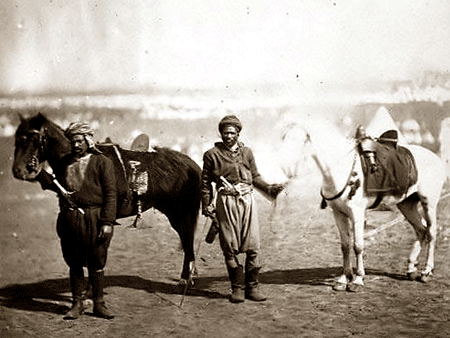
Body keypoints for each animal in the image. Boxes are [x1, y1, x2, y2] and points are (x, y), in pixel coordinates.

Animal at [11, 113, 200, 282]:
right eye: (17, 139)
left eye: (33, 139)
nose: (18, 170)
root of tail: (193, 164)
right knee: (186, 239)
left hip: (180, 213)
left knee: (187, 238)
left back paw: (187, 277)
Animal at [284, 120, 444, 292]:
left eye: (296, 139)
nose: (284, 168)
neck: (341, 168)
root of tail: (437, 159)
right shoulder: (338, 213)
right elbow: (345, 246)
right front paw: (343, 279)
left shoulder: (357, 214)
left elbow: (358, 246)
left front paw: (358, 280)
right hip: (407, 205)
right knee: (421, 230)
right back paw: (411, 269)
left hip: (429, 203)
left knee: (431, 233)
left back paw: (426, 271)